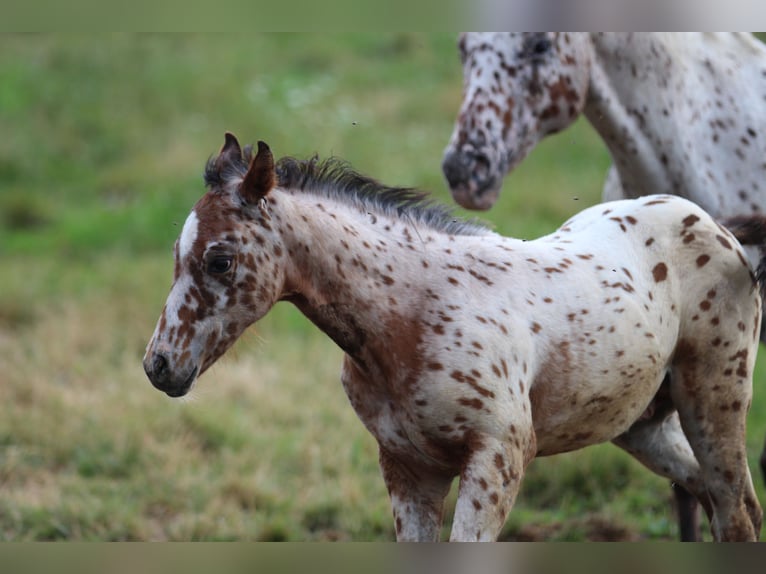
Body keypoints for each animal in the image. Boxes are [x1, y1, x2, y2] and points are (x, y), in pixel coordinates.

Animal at [147, 135, 764, 544]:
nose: (160, 366)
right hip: (643, 425)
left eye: (220, 260)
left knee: (734, 512)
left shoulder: (500, 456)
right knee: (718, 501)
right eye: (176, 255)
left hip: (715, 399)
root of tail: (722, 228)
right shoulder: (407, 470)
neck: (413, 312)